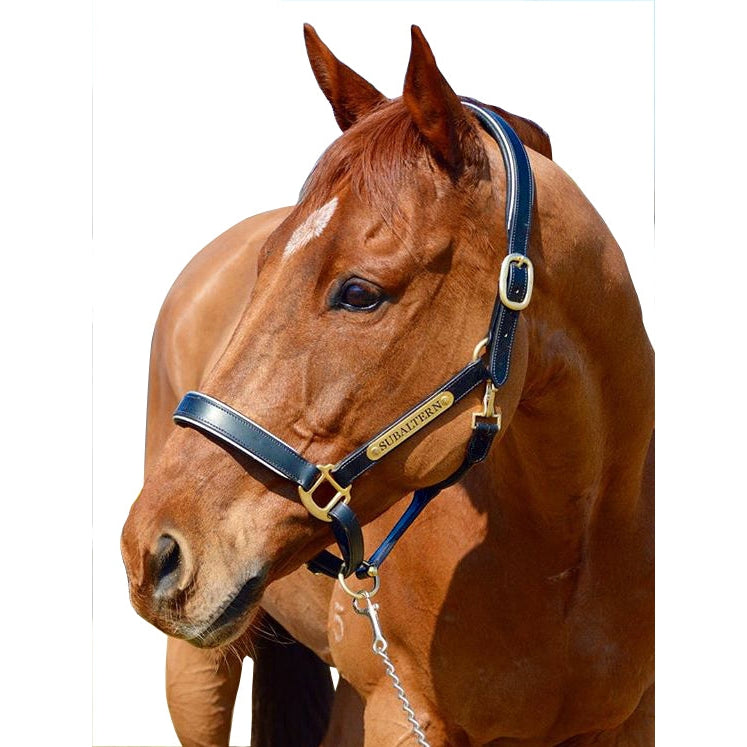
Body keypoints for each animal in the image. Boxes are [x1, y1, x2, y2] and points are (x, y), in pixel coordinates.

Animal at [122, 24, 654, 746]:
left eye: (359, 293)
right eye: (265, 264)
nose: (153, 550)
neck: (567, 551)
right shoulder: (401, 716)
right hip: (200, 672)